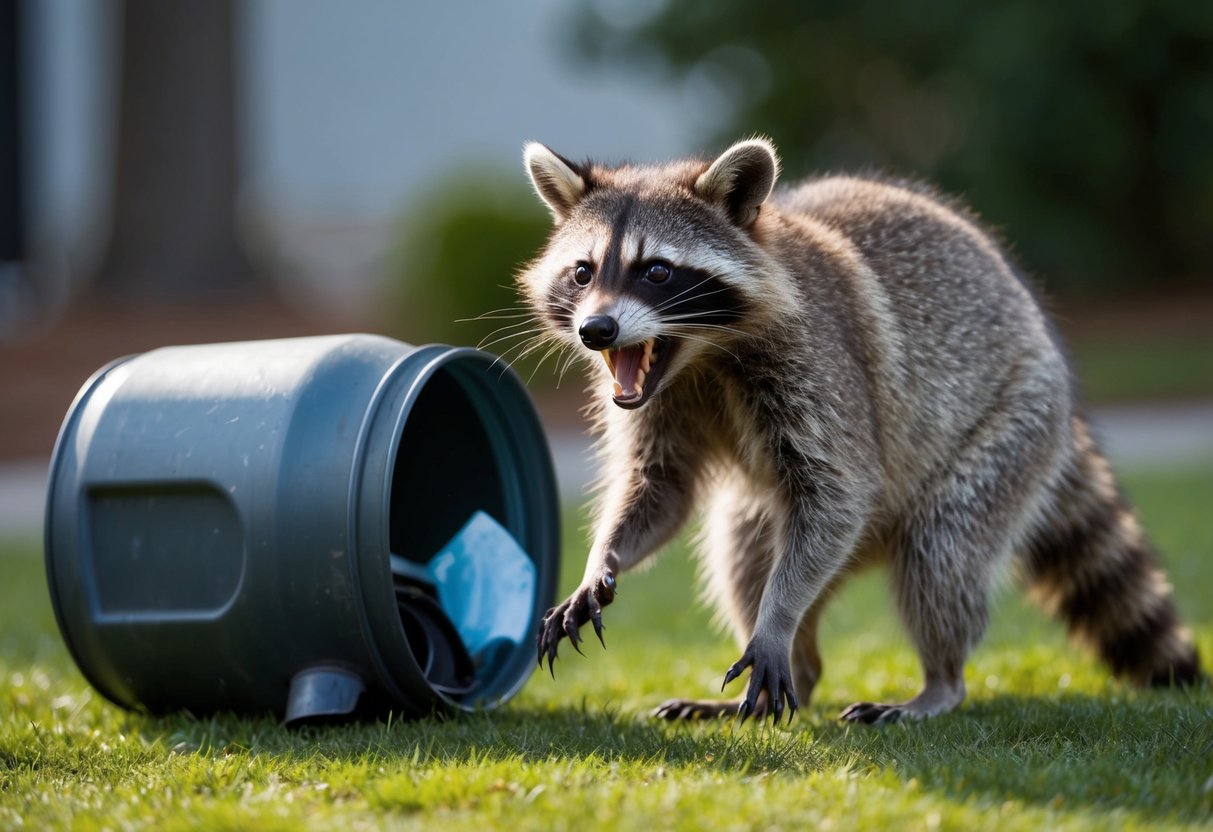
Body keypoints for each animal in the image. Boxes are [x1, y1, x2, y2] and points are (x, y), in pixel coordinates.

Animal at [518, 137, 1202, 724]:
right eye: (583, 272)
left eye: (656, 271)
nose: (597, 331)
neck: (698, 355)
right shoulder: (660, 402)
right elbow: (660, 488)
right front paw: (602, 560)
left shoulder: (821, 361)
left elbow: (838, 491)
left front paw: (776, 620)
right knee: (744, 553)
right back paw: (797, 670)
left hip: (1017, 422)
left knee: (941, 549)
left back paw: (939, 679)